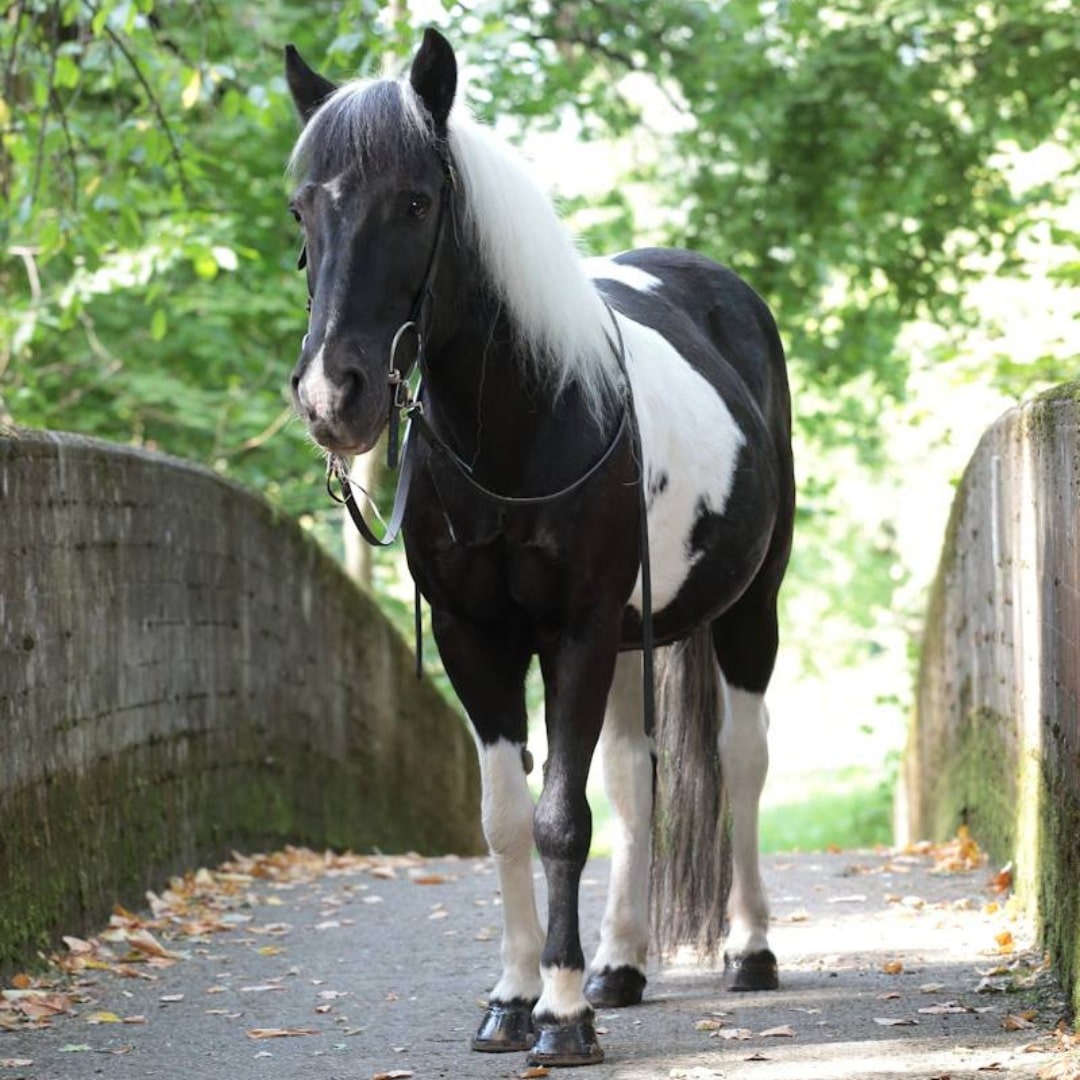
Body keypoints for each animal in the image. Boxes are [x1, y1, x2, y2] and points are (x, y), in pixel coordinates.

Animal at [282, 27, 799, 1071]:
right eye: (301, 206)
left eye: (417, 200)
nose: (330, 397)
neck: (517, 428)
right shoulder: (474, 637)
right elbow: (508, 818)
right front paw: (516, 997)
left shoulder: (576, 633)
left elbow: (564, 820)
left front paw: (560, 1018)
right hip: (638, 638)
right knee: (638, 778)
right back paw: (621, 965)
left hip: (747, 610)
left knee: (741, 758)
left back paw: (749, 950)